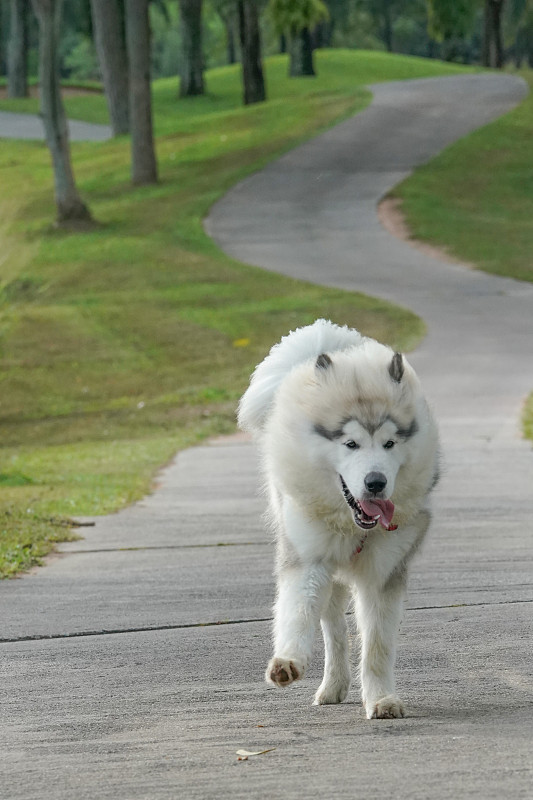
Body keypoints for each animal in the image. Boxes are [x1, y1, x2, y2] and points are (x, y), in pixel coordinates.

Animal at [239, 318, 438, 720]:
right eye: (350, 443)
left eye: (390, 443)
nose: (375, 483)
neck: (354, 525)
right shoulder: (308, 557)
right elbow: (297, 612)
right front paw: (287, 662)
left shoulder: (383, 572)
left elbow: (377, 645)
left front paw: (380, 699)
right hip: (329, 574)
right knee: (334, 631)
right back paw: (331, 686)